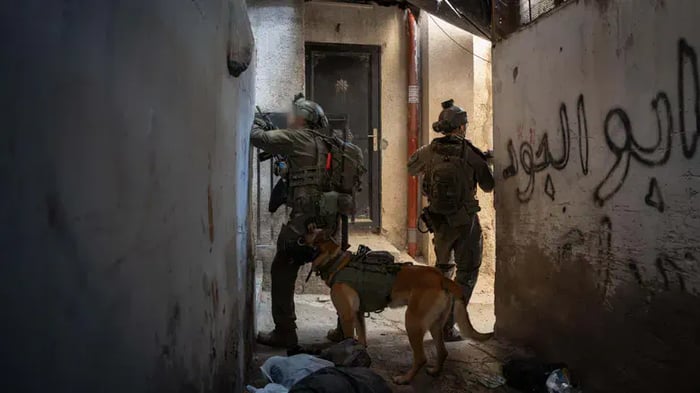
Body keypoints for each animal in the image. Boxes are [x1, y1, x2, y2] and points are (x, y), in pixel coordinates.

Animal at [304, 227, 492, 382]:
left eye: (310, 232)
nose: (303, 230)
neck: (336, 261)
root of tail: (440, 277)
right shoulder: (358, 315)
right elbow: (362, 341)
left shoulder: (347, 316)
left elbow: (348, 339)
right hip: (435, 324)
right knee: (442, 351)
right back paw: (435, 372)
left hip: (413, 322)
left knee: (421, 357)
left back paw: (405, 379)